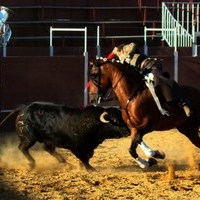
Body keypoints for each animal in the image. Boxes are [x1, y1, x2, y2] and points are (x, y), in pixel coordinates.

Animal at [0, 101, 130, 170]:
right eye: (114, 120)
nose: (128, 131)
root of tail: (24, 108)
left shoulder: (88, 147)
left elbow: (88, 157)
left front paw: (81, 167)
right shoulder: (75, 147)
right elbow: (84, 158)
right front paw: (90, 169)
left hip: (47, 138)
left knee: (48, 149)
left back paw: (65, 162)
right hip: (29, 138)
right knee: (23, 148)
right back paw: (32, 164)